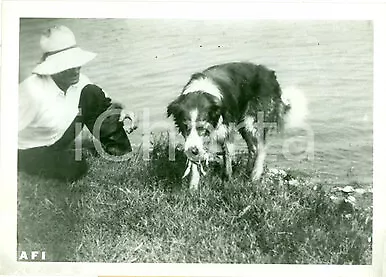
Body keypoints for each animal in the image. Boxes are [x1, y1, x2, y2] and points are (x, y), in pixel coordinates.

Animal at [167, 61, 306, 189]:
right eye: (186, 127)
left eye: (202, 127)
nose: (193, 150)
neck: (201, 92)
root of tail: (271, 74)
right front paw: (193, 188)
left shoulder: (226, 131)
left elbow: (227, 156)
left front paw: (227, 180)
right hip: (243, 124)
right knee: (253, 147)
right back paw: (247, 172)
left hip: (253, 120)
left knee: (261, 147)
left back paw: (255, 176)